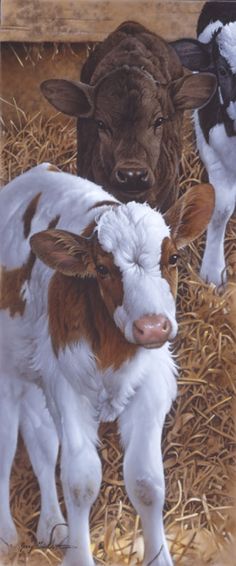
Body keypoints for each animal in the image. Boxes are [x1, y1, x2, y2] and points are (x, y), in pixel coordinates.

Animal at [0, 162, 214, 564]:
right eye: (101, 269)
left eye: (173, 259)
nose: (152, 327)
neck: (115, 354)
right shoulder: (67, 389)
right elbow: (80, 480)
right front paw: (79, 556)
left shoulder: (151, 386)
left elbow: (146, 482)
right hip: (7, 374)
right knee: (6, 445)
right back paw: (7, 534)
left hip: (34, 375)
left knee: (40, 440)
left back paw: (53, 525)